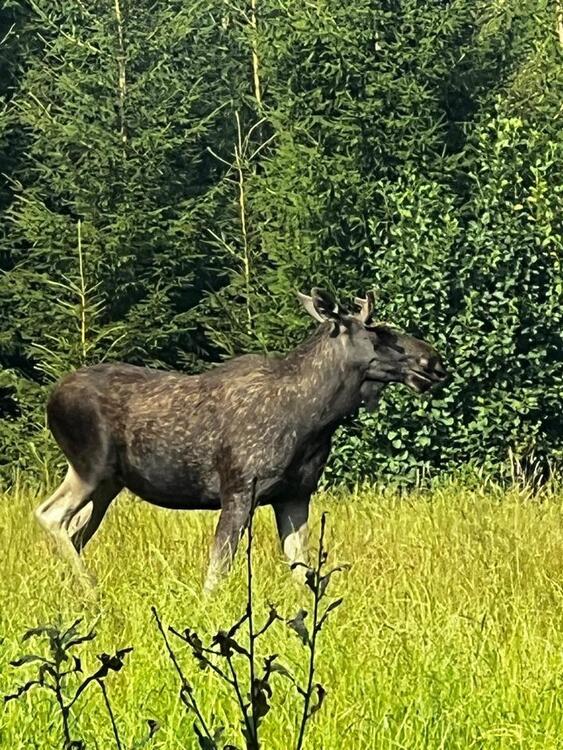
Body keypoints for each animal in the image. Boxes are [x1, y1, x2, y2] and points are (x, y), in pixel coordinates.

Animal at [34, 288, 447, 591]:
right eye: (379, 332)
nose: (435, 361)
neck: (315, 419)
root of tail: (52, 399)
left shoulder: (295, 495)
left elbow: (303, 572)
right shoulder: (239, 487)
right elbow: (218, 570)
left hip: (108, 484)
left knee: (75, 531)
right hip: (91, 467)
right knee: (50, 515)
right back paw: (92, 593)